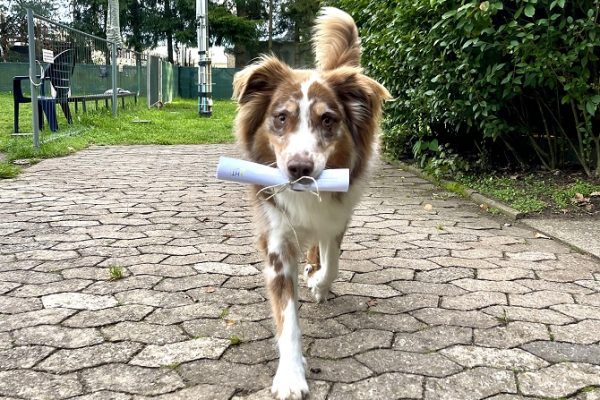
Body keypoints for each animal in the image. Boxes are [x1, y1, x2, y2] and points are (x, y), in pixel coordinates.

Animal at [232, 7, 392, 400]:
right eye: (281, 117)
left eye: (328, 119)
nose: (299, 169)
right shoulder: (275, 235)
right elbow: (287, 316)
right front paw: (291, 375)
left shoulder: (339, 214)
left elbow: (332, 260)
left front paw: (319, 283)